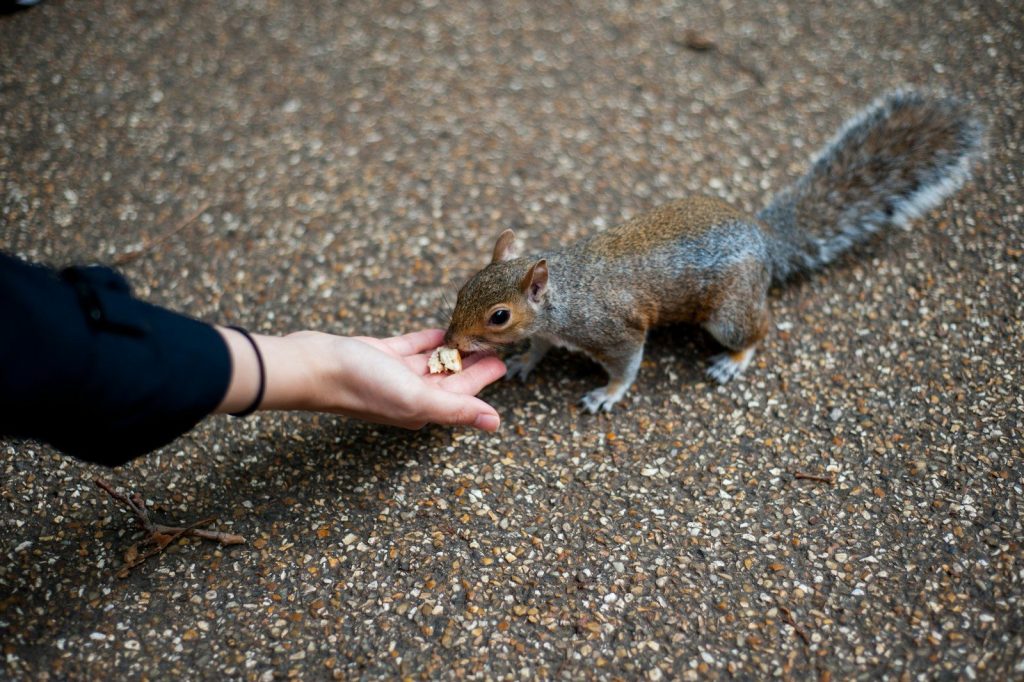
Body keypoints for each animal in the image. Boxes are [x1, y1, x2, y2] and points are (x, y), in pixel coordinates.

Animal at [442, 90, 985, 413]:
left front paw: (606, 394)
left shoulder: (616, 329)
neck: (562, 298)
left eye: (498, 316)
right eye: (461, 289)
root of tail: (764, 238)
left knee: (757, 329)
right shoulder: (552, 330)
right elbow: (539, 346)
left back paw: (734, 360)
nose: (451, 341)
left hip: (728, 312)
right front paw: (524, 363)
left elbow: (627, 365)